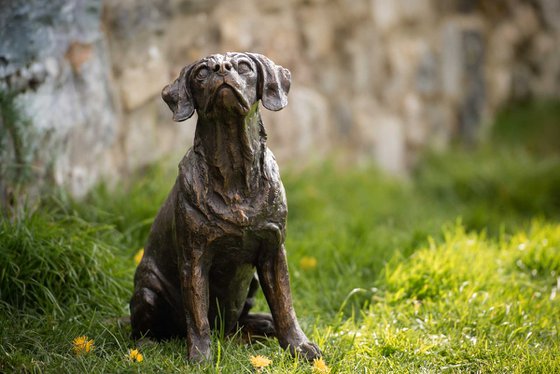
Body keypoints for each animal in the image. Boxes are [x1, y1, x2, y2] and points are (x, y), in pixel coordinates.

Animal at [130, 52, 322, 362]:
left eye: (244, 65)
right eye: (201, 72)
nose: (222, 68)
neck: (234, 171)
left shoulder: (273, 252)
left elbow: (284, 305)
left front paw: (299, 346)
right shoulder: (194, 258)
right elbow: (197, 316)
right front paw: (200, 357)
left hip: (252, 280)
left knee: (241, 322)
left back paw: (263, 323)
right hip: (148, 293)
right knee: (144, 328)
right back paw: (147, 345)